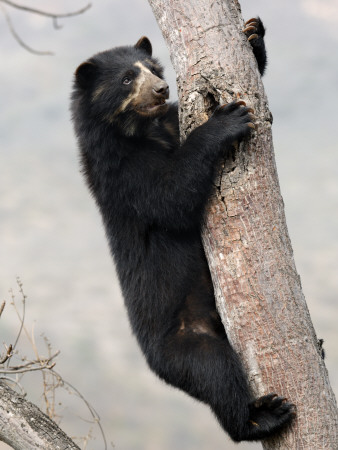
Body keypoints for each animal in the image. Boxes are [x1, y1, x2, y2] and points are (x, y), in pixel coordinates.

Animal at [72, 18, 296, 442]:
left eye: (152, 68)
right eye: (127, 79)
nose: (162, 88)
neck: (144, 129)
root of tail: (153, 363)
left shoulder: (168, 122)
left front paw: (253, 35)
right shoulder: (122, 172)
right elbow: (171, 195)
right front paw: (227, 120)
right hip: (185, 344)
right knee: (216, 373)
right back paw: (263, 417)